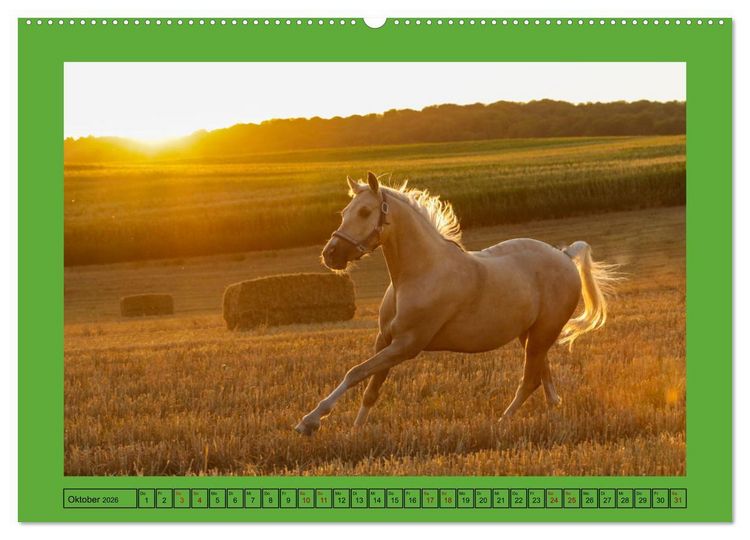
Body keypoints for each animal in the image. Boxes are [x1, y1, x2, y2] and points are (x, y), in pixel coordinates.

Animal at [294, 172, 618, 436]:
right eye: (344, 212)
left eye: (364, 211)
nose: (331, 255)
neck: (420, 272)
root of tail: (565, 255)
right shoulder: (385, 339)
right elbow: (371, 388)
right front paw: (355, 432)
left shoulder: (406, 345)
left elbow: (355, 373)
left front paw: (309, 422)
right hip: (530, 335)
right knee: (543, 380)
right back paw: (552, 418)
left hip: (543, 334)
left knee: (529, 381)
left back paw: (500, 424)